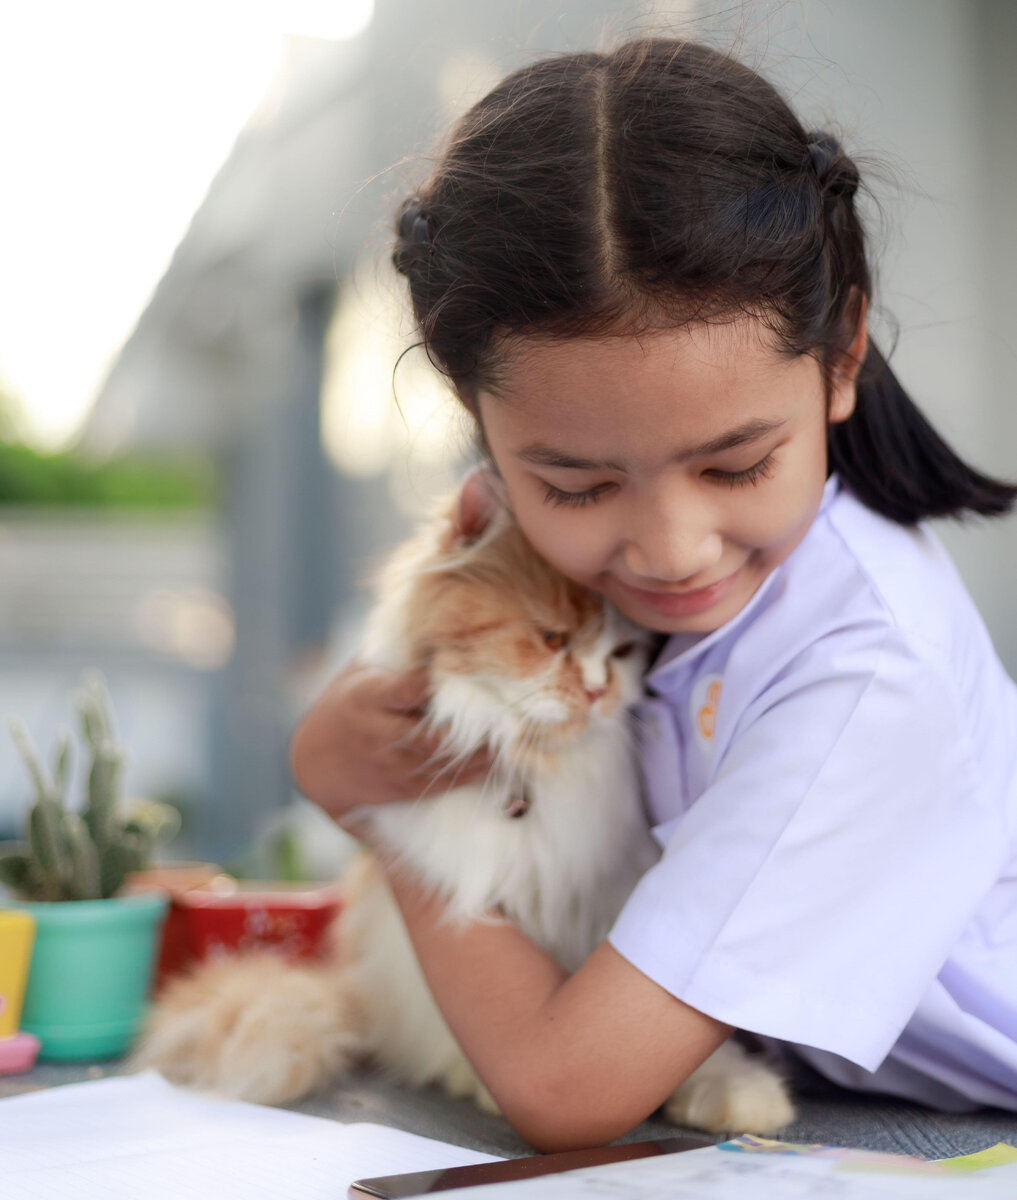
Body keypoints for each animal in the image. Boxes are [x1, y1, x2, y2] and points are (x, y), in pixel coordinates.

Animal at [128, 475, 796, 1132]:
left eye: (623, 654)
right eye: (551, 639)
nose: (597, 691)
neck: (535, 767)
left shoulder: (604, 907)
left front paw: (728, 1091)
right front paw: (480, 1084)